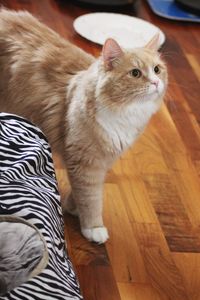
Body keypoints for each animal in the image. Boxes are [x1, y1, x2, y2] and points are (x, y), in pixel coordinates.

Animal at [0, 8, 167, 244]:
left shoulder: (104, 158)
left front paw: (72, 206)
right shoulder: (86, 162)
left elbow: (83, 192)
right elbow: (91, 197)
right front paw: (93, 227)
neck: (126, 113)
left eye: (157, 69)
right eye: (135, 73)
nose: (156, 82)